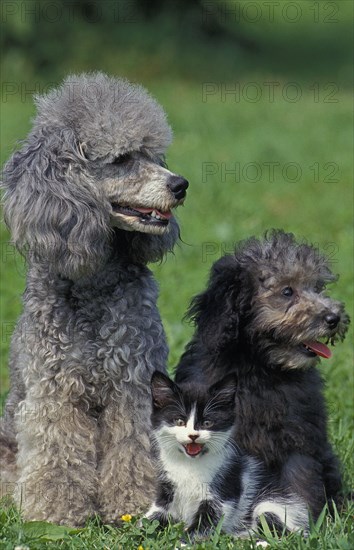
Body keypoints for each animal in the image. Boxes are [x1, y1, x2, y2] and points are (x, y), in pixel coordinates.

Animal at [145, 370, 308, 540]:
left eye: (207, 423)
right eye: (179, 421)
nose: (193, 435)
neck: (189, 463)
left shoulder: (224, 488)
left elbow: (209, 520)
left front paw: (185, 541)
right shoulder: (167, 485)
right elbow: (155, 514)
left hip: (277, 504)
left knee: (273, 523)